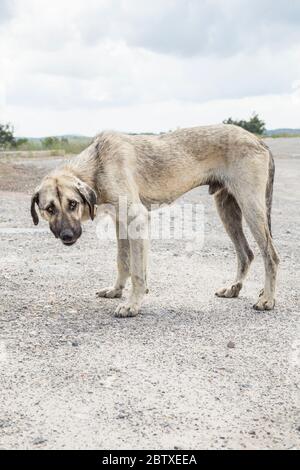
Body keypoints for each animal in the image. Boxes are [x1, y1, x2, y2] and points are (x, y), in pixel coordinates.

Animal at [30, 123, 278, 318]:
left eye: (73, 204)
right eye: (49, 209)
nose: (67, 236)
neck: (97, 165)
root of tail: (258, 139)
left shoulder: (136, 219)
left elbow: (137, 271)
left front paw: (132, 304)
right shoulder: (121, 224)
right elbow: (123, 262)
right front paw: (117, 290)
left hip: (250, 206)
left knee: (271, 256)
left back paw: (267, 299)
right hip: (227, 209)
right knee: (246, 253)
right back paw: (234, 288)